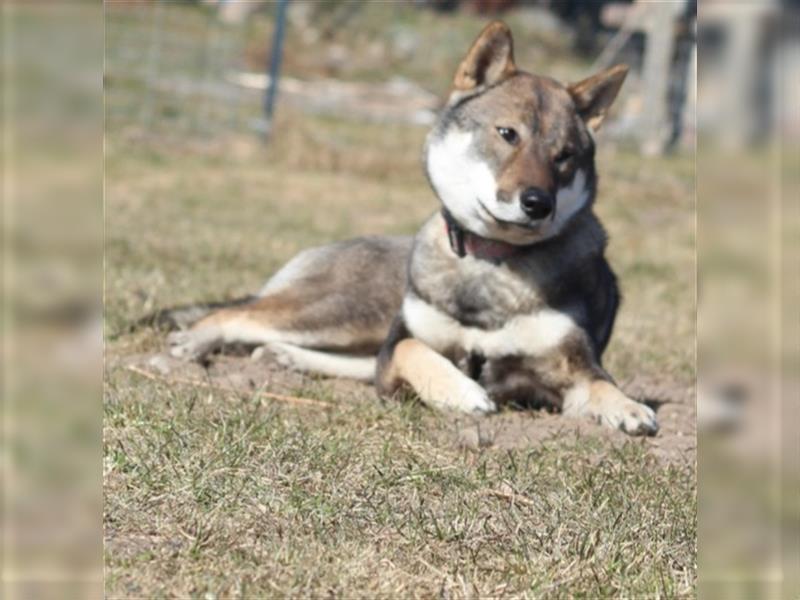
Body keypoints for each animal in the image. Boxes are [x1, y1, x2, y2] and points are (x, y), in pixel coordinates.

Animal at [162, 22, 656, 436]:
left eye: (565, 155)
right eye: (507, 134)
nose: (537, 204)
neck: (488, 266)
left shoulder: (569, 368)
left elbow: (601, 384)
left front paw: (629, 408)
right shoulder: (402, 344)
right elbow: (415, 352)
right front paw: (461, 391)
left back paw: (283, 356)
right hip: (336, 313)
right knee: (236, 314)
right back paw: (194, 341)